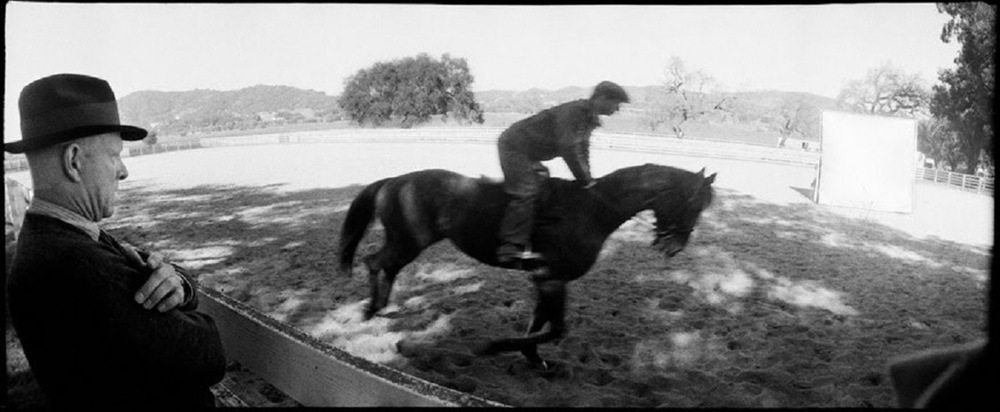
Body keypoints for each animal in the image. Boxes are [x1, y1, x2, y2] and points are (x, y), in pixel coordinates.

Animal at [340, 163, 716, 366]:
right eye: (694, 205)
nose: (674, 248)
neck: (591, 211)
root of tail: (395, 180)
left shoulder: (544, 280)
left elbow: (538, 324)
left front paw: (533, 358)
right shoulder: (552, 279)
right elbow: (555, 328)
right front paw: (492, 346)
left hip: (406, 243)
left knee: (385, 266)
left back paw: (380, 306)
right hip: (408, 241)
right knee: (374, 261)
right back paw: (370, 310)